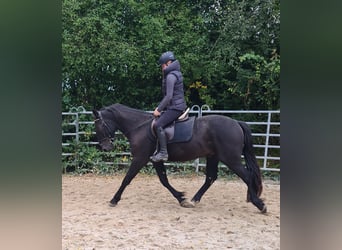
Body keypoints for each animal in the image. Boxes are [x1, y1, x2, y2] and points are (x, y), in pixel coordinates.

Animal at [92, 103, 266, 213]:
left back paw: (259, 204)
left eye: (99, 125)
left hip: (231, 159)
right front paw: (181, 198)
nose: (105, 147)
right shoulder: (156, 160)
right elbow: (164, 180)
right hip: (213, 156)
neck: (139, 127)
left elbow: (127, 179)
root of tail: (236, 122)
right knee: (211, 177)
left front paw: (114, 199)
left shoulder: (140, 158)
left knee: (247, 176)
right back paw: (194, 200)